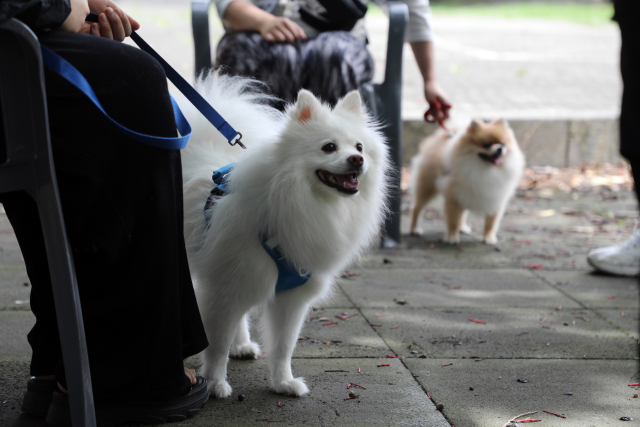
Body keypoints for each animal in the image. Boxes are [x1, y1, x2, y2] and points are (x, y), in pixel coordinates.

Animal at [180, 72, 390, 398]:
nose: (357, 159)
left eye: (359, 146)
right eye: (328, 147)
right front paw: (214, 384)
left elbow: (283, 346)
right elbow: (217, 344)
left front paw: (283, 383)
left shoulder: (290, 296)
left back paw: (242, 345)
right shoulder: (226, 287)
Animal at [410, 118, 524, 246]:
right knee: (416, 208)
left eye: (503, 143)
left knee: (463, 214)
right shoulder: (454, 198)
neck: (485, 170)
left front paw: (489, 238)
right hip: (427, 189)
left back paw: (463, 228)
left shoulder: (495, 199)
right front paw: (452, 237)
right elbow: (453, 221)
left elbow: (490, 223)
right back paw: (414, 229)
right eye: (487, 144)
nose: (500, 148)